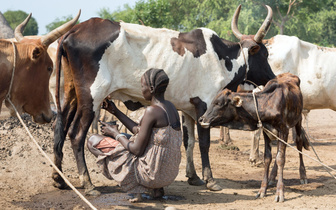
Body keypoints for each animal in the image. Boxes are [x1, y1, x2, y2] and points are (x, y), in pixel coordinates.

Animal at [200, 72, 310, 202]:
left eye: (218, 104)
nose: (201, 119)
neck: (268, 102)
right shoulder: (266, 131)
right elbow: (268, 158)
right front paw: (262, 190)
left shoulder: (284, 130)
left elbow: (280, 159)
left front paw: (280, 192)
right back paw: (272, 177)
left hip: (298, 120)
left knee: (298, 143)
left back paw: (303, 175)